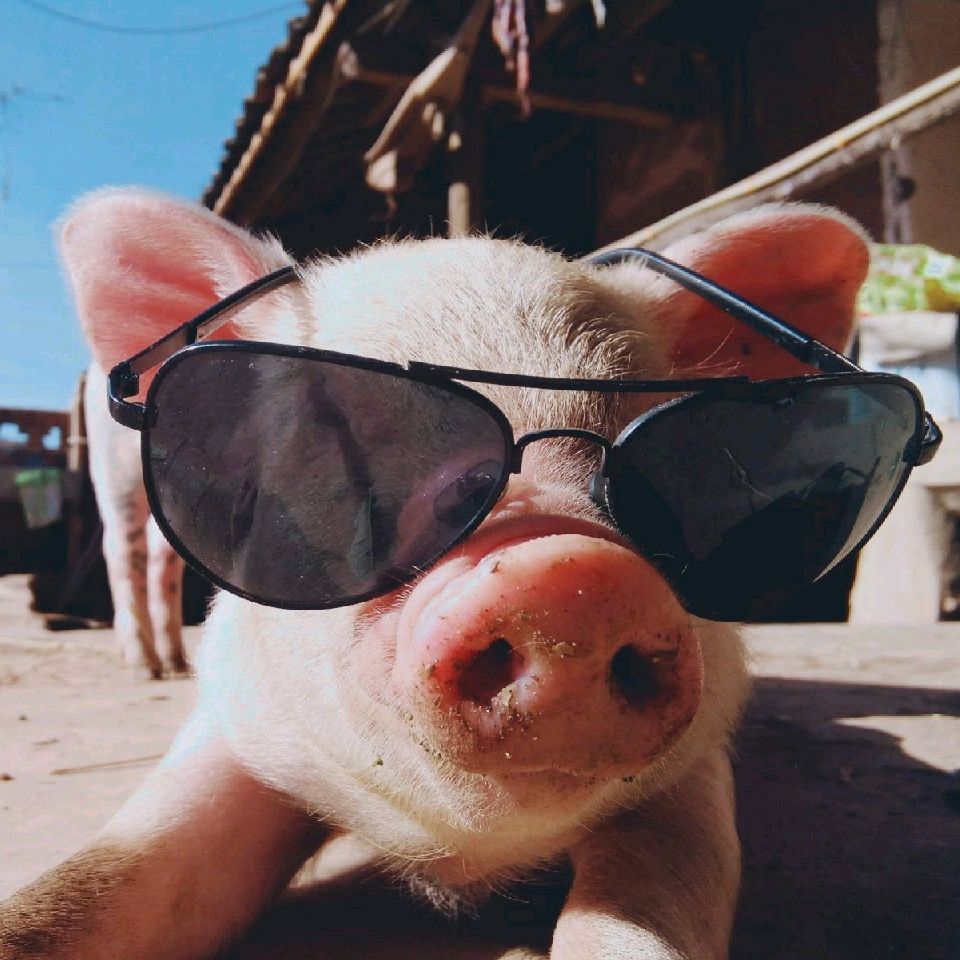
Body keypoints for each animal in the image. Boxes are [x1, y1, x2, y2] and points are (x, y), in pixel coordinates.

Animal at [0, 188, 869, 959]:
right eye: (332, 443)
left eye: (657, 454)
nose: (566, 572)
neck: (461, 855)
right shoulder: (236, 729)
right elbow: (84, 887)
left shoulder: (692, 772)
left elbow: (651, 910)